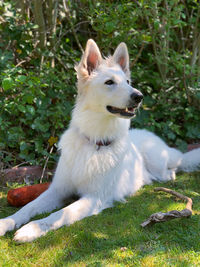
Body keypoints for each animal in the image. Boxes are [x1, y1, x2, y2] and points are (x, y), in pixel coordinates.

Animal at [0, 39, 200, 243]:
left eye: (128, 82)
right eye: (109, 82)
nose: (139, 96)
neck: (96, 141)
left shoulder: (94, 197)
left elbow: (60, 214)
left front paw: (32, 229)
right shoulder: (57, 190)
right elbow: (28, 207)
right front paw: (6, 222)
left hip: (156, 160)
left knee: (172, 169)